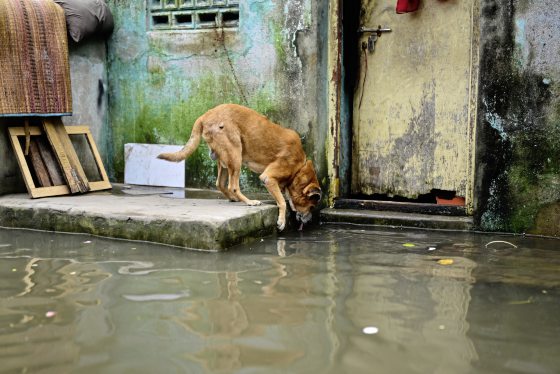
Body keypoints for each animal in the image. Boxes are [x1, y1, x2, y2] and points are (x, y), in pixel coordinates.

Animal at [160, 103, 322, 231]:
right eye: (312, 206)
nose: (309, 222)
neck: (299, 168)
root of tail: (205, 115)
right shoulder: (268, 178)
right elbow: (282, 202)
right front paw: (281, 221)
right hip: (236, 154)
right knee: (233, 186)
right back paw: (249, 202)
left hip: (224, 160)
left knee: (220, 183)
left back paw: (234, 199)